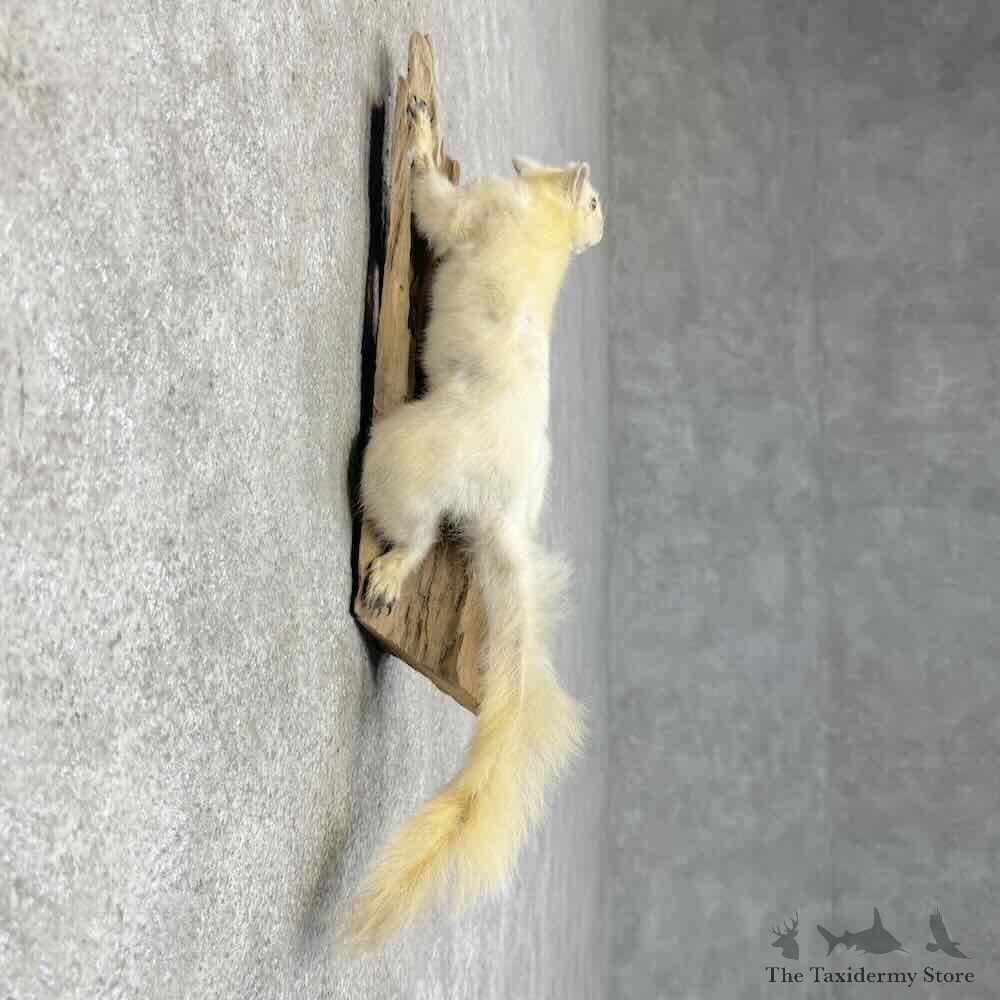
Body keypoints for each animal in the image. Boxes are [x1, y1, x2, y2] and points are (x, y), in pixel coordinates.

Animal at [342, 94, 604, 950]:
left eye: (592, 197)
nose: (533, 159)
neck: (548, 232)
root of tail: (505, 521)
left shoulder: (477, 212)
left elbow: (435, 207)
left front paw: (422, 133)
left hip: (401, 453)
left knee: (418, 532)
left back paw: (385, 578)